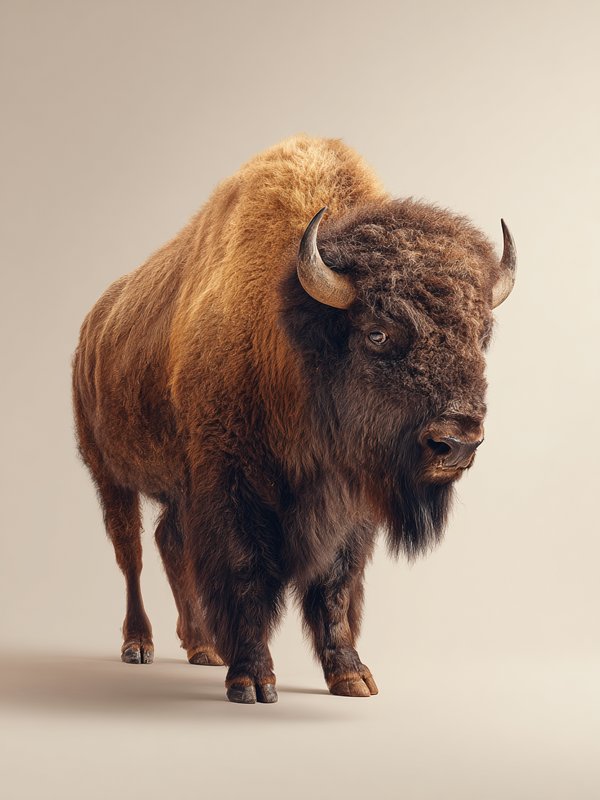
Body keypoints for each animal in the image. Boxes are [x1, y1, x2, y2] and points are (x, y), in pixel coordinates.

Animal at [72, 135, 515, 703]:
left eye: (480, 334)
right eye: (377, 332)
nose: (456, 441)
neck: (294, 339)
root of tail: (91, 327)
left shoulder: (350, 500)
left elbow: (335, 583)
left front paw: (352, 676)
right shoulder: (231, 486)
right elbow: (246, 571)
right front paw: (252, 680)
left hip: (175, 486)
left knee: (170, 541)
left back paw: (202, 647)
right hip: (108, 472)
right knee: (130, 552)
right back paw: (140, 645)